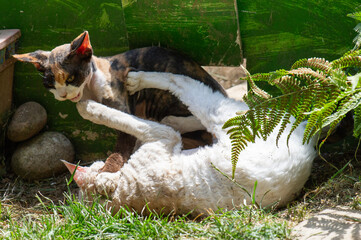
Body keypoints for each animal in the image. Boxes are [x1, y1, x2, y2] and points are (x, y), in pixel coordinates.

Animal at [14, 31, 225, 172]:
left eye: (71, 78)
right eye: (50, 84)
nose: (64, 95)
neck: (90, 88)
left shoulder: (121, 105)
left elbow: (122, 142)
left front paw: (107, 171)